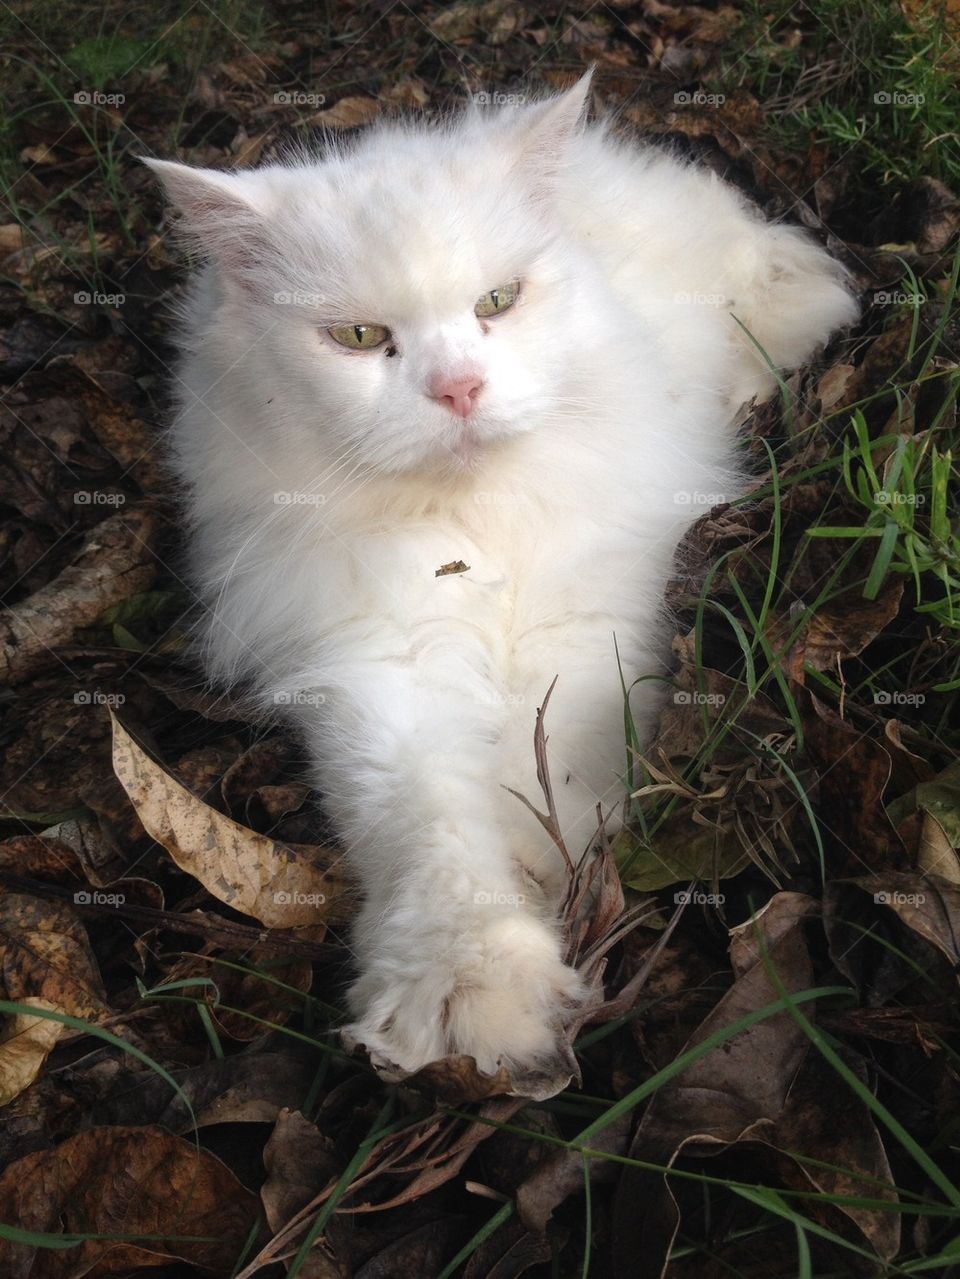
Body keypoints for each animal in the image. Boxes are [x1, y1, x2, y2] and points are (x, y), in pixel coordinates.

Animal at [148, 70, 853, 1084]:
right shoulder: (380, 664)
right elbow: (433, 826)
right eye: (358, 336)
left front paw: (551, 878)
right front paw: (474, 985)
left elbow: (546, 766)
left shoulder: (584, 626)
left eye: (497, 300)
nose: (460, 391)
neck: (473, 526)